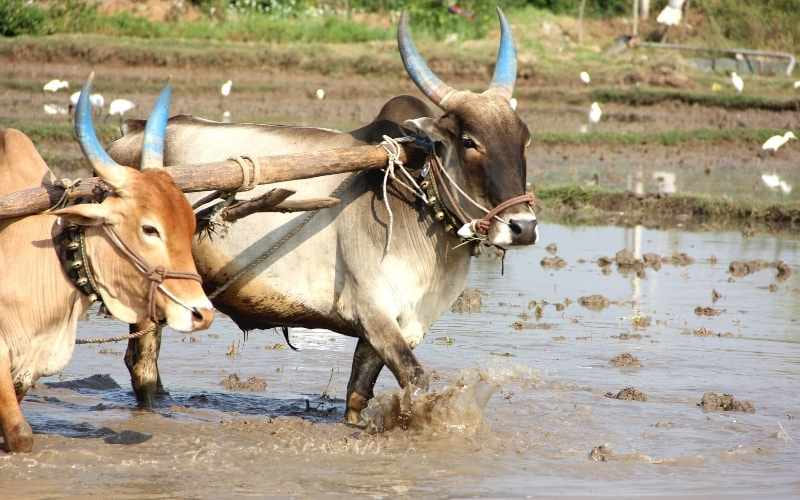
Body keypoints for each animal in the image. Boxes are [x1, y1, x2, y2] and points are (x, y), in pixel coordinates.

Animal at [109, 8, 536, 424]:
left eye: (525, 139)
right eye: (469, 141)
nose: (523, 227)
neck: (417, 200)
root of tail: (126, 138)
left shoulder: (401, 324)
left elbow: (357, 395)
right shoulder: (375, 313)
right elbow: (416, 379)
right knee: (141, 361)